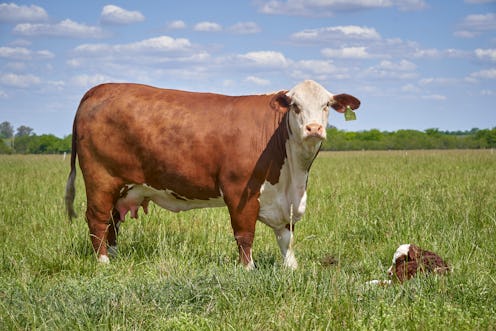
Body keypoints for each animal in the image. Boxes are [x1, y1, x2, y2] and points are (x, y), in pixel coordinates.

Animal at [66, 80, 360, 270]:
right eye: (295, 106)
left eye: (326, 105)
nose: (314, 128)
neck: (293, 174)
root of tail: (100, 88)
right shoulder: (240, 192)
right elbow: (244, 234)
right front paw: (248, 269)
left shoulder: (285, 200)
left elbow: (286, 237)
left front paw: (291, 268)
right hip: (101, 179)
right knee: (97, 220)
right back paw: (103, 262)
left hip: (124, 187)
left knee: (113, 221)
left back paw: (115, 256)